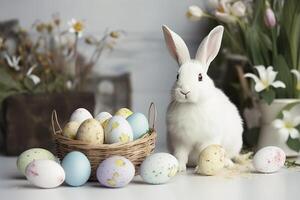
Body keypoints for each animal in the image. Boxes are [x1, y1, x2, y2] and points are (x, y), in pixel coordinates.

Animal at [163, 25, 243, 172]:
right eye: (177, 76)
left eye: (200, 77)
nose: (185, 91)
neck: (191, 104)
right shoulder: (180, 141)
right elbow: (180, 155)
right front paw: (180, 168)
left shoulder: (209, 139)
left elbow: (206, 152)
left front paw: (201, 168)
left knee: (229, 155)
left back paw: (227, 164)